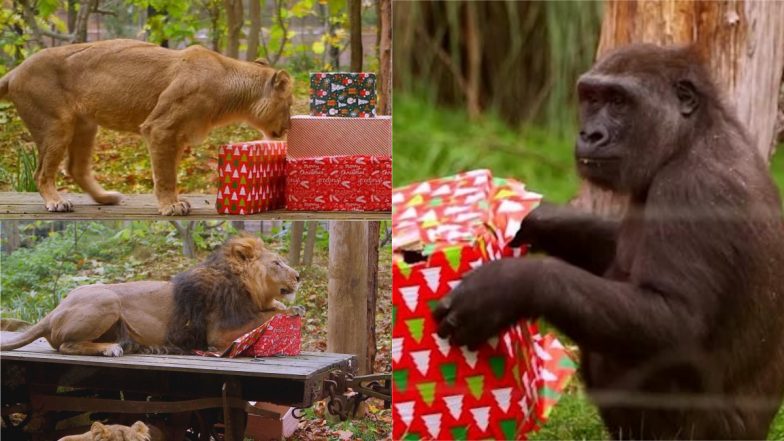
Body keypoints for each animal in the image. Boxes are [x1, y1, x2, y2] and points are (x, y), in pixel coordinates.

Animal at [0, 39, 294, 215]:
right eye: (289, 104)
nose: (290, 126)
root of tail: (14, 71)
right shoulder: (160, 128)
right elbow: (164, 174)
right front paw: (171, 206)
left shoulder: (177, 136)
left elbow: (169, 172)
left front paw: (175, 201)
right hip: (55, 125)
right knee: (41, 172)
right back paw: (56, 201)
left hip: (85, 126)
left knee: (75, 167)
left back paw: (106, 198)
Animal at [0, 235, 300, 356]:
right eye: (277, 263)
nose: (298, 276)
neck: (248, 289)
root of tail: (54, 311)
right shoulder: (218, 334)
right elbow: (264, 317)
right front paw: (291, 310)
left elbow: (270, 310)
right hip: (108, 300)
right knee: (66, 345)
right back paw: (111, 348)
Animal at [432, 43, 784, 438]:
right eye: (592, 98)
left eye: (618, 101)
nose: (591, 134)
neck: (688, 138)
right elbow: (612, 246)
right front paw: (527, 219)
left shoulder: (693, 189)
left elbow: (677, 322)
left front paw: (509, 286)